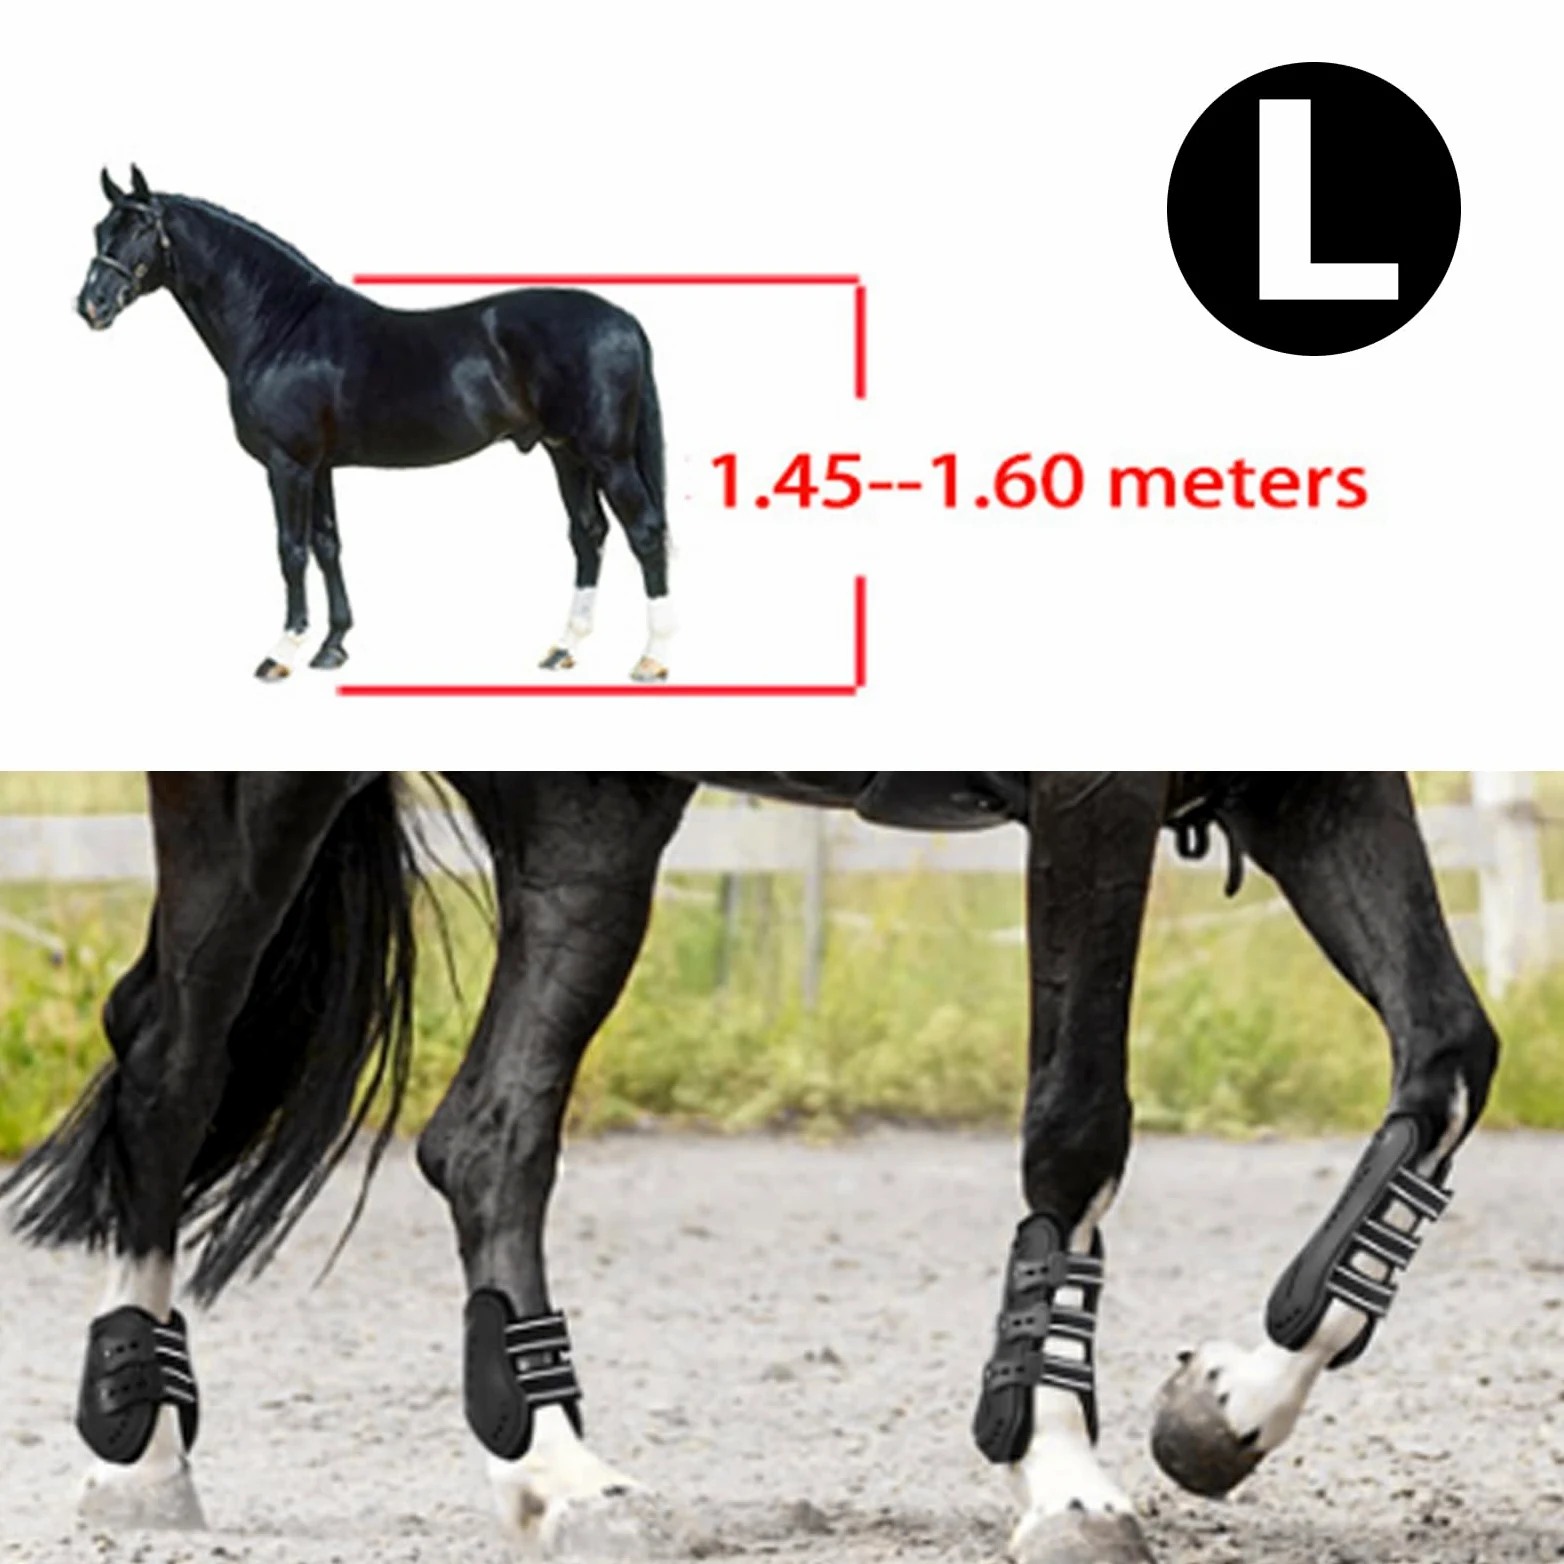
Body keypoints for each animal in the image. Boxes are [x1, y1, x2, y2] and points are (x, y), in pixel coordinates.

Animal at [2, 773, 1497, 1563]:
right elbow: (1078, 1124)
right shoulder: (1095, 796)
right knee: (175, 1066)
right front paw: (1066, 1480)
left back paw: (560, 1470)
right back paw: (139, 1458)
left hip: (595, 828)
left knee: (490, 1132)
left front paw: (1222, 1413)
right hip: (260, 800)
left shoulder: (1315, 781)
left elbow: (1447, 1058)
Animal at [75, 168, 673, 683]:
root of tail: (625, 320)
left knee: (644, 533)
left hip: (608, 457)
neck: (280, 327)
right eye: (101, 229)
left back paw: (653, 659)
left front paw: (282, 652)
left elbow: (291, 550)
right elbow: (327, 544)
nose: (91, 305)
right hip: (564, 452)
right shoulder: (318, 467)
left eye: (142, 230)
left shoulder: (287, 466)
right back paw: (563, 648)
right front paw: (332, 646)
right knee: (588, 534)